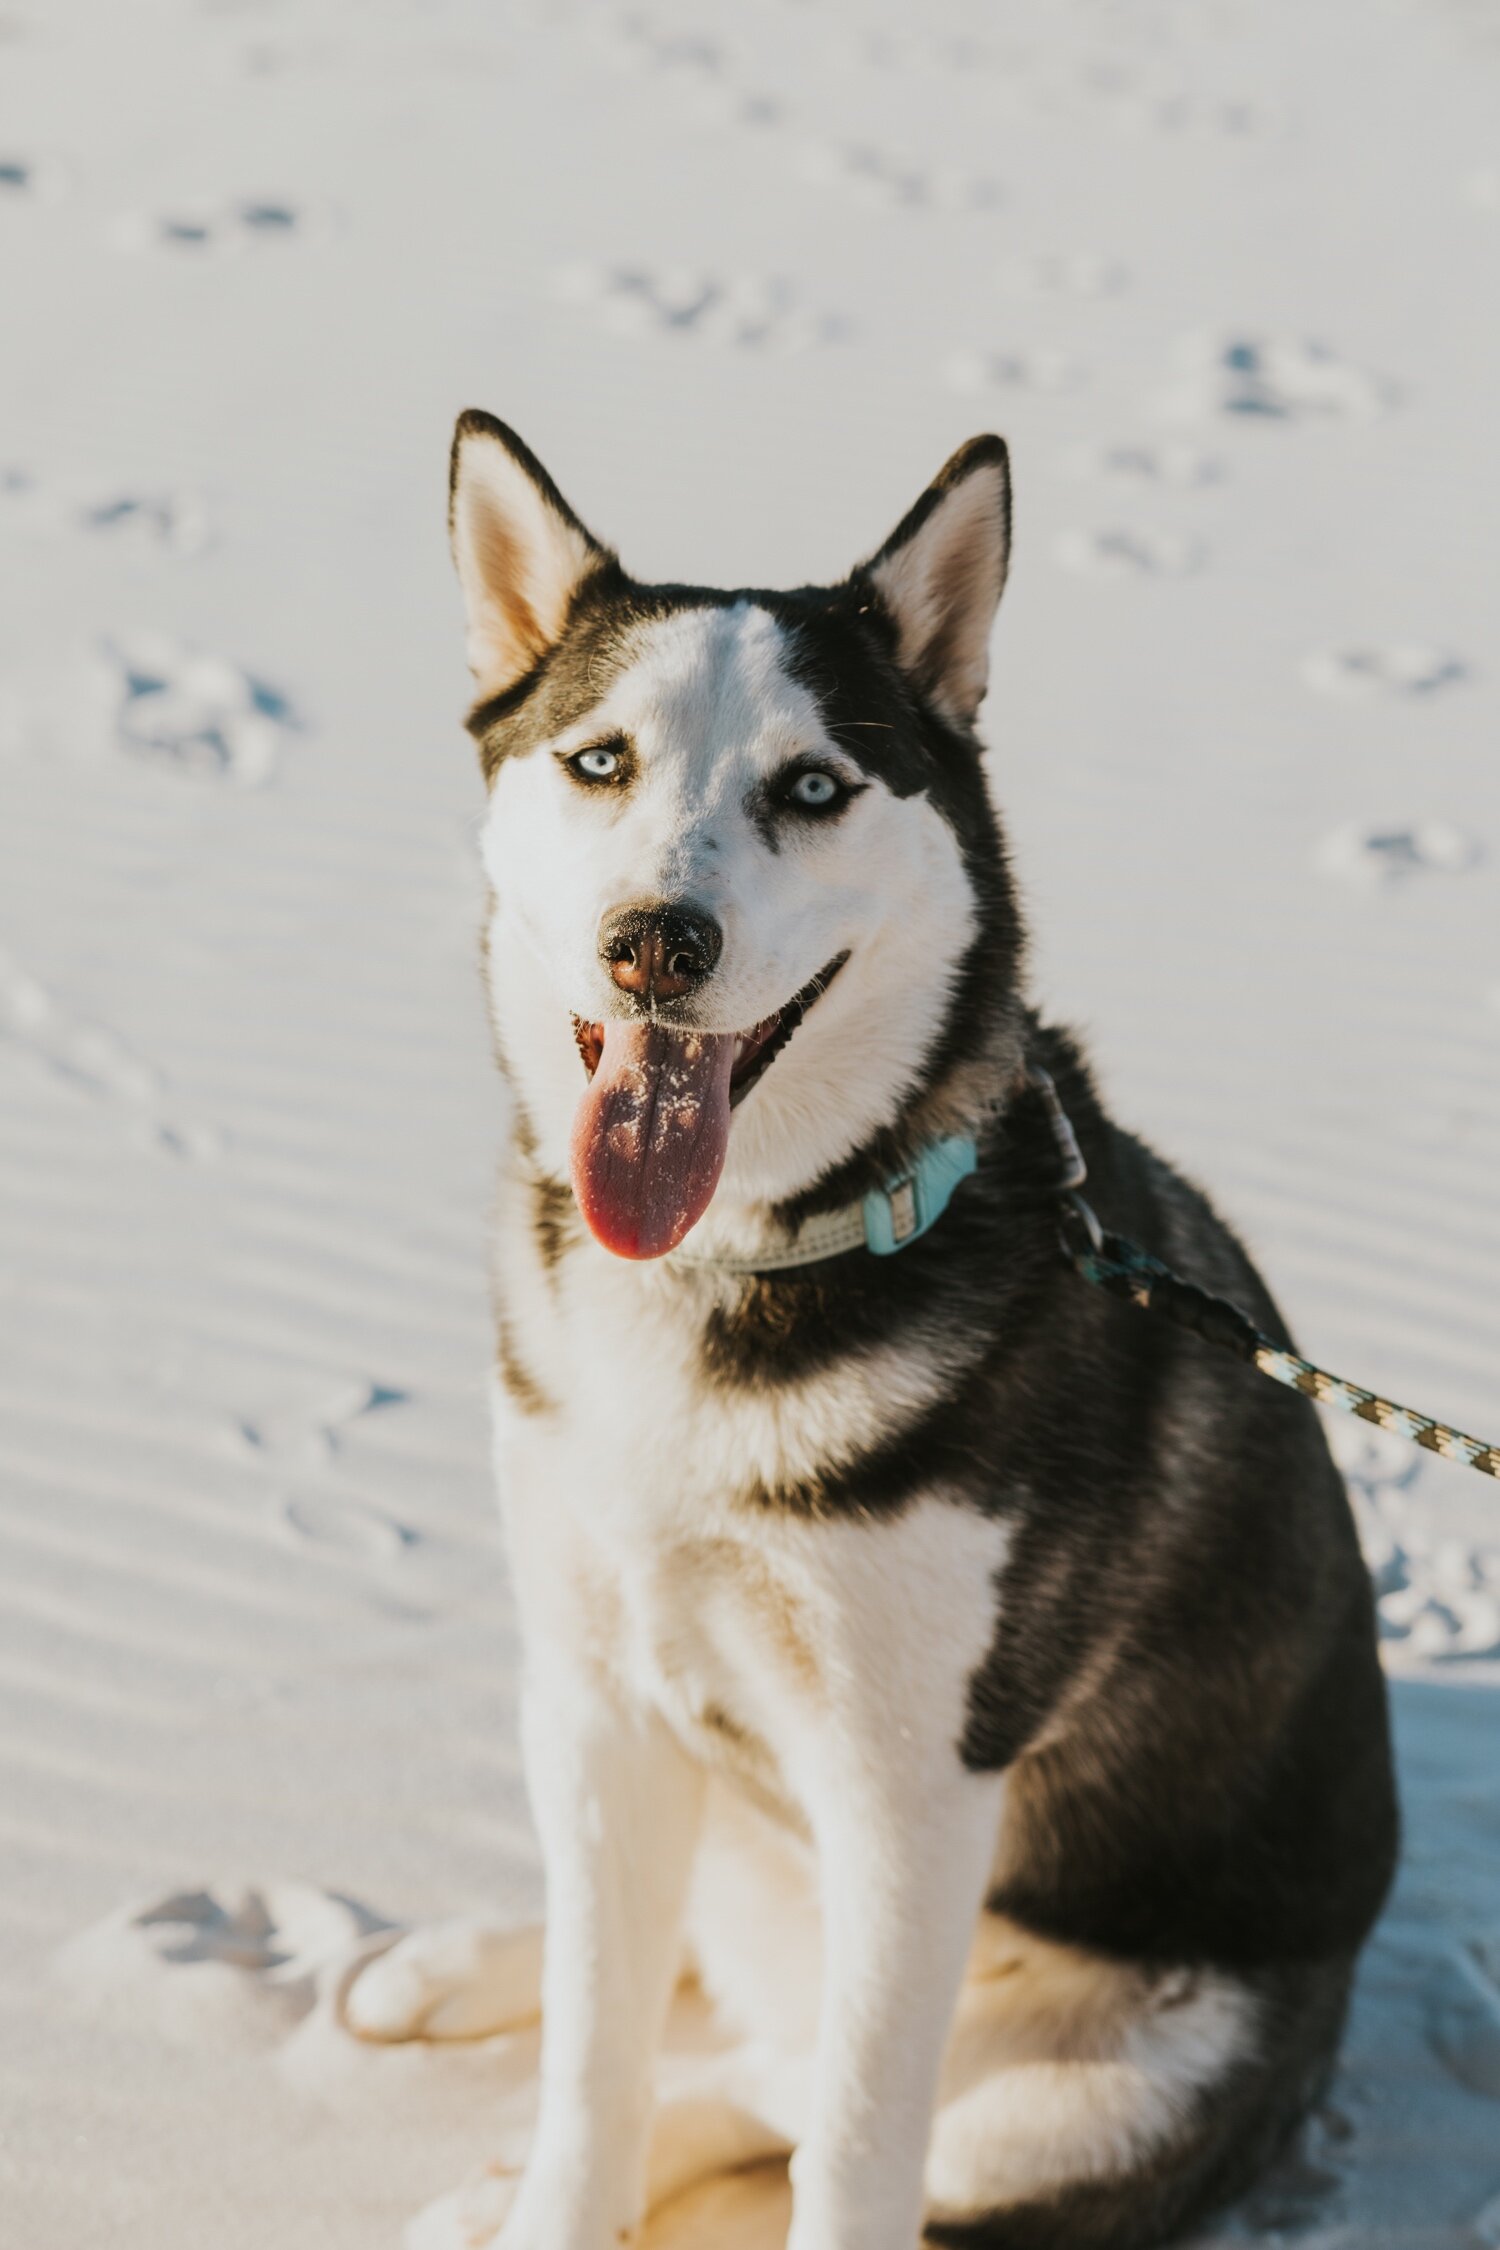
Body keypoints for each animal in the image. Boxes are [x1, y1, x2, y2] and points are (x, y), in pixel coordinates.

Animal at [353, 418, 1394, 2250]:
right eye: (600, 761)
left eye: (815, 788)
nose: (656, 942)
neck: (741, 1263)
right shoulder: (600, 1683)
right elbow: (597, 2061)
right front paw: (551, 2187)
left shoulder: (909, 1791)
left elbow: (843, 2149)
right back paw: (465, 1986)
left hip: (1076, 2098)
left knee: (797, 2088)